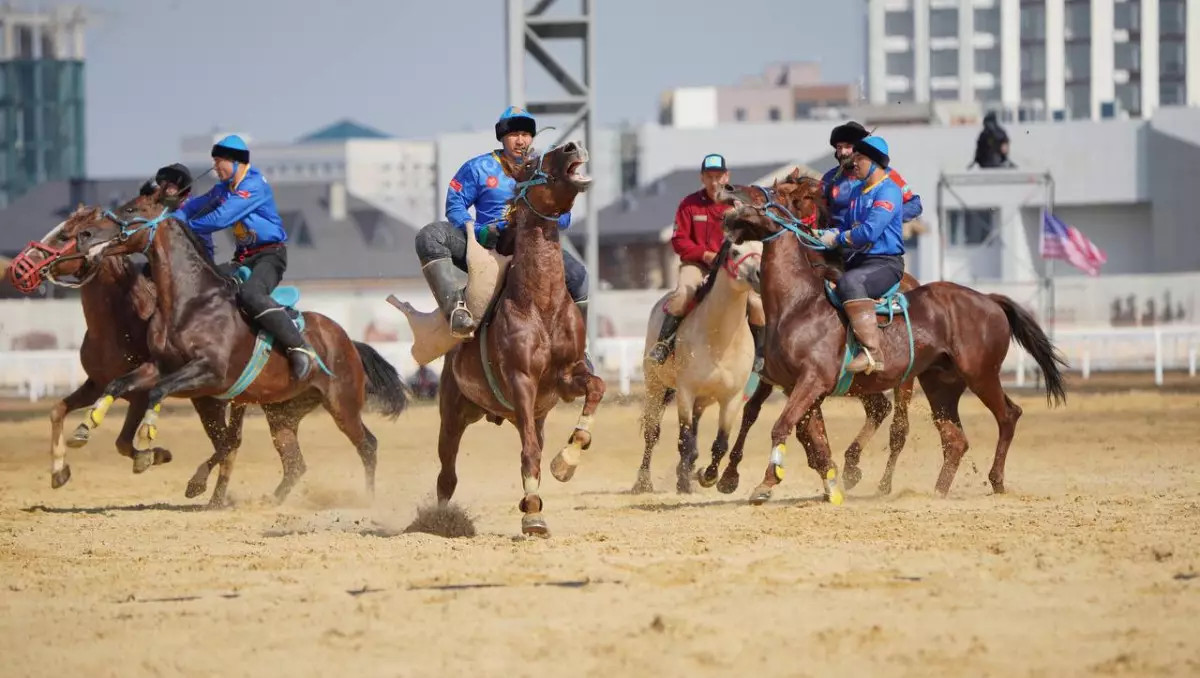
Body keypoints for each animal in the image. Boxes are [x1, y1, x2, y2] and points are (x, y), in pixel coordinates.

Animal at [6, 204, 246, 494]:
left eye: (63, 236)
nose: (18, 268)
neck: (118, 323)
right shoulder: (97, 383)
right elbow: (57, 410)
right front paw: (59, 470)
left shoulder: (140, 394)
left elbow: (122, 442)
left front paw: (153, 455)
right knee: (228, 443)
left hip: (211, 397)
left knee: (229, 443)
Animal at [66, 187, 412, 504]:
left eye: (131, 208)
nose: (85, 234)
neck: (192, 303)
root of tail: (347, 341)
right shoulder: (160, 366)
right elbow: (118, 383)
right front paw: (85, 426)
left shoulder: (209, 372)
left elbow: (158, 392)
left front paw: (147, 432)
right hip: (282, 414)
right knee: (294, 463)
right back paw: (267, 500)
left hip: (342, 404)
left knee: (367, 445)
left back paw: (368, 500)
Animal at [393, 141, 600, 535]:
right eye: (533, 163)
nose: (572, 146)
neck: (540, 304)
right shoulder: (521, 381)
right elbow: (528, 452)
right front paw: (533, 516)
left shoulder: (566, 378)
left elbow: (596, 389)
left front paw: (566, 460)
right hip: (453, 413)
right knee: (447, 475)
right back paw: (442, 521)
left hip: (533, 414)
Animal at [633, 237, 763, 492]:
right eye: (735, 251)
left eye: (762, 251)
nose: (759, 274)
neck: (720, 339)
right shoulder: (686, 392)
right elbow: (685, 440)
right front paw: (685, 481)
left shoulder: (732, 398)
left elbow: (721, 442)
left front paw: (708, 476)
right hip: (655, 386)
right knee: (652, 433)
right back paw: (643, 483)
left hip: (702, 401)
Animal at [715, 177, 1065, 504]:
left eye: (772, 194)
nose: (727, 188)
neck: (799, 303)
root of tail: (989, 299)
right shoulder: (795, 386)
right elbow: (811, 438)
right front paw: (830, 484)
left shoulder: (812, 381)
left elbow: (784, 426)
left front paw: (766, 483)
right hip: (940, 386)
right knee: (954, 439)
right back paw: (936, 492)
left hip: (980, 375)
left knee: (1007, 416)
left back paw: (995, 480)